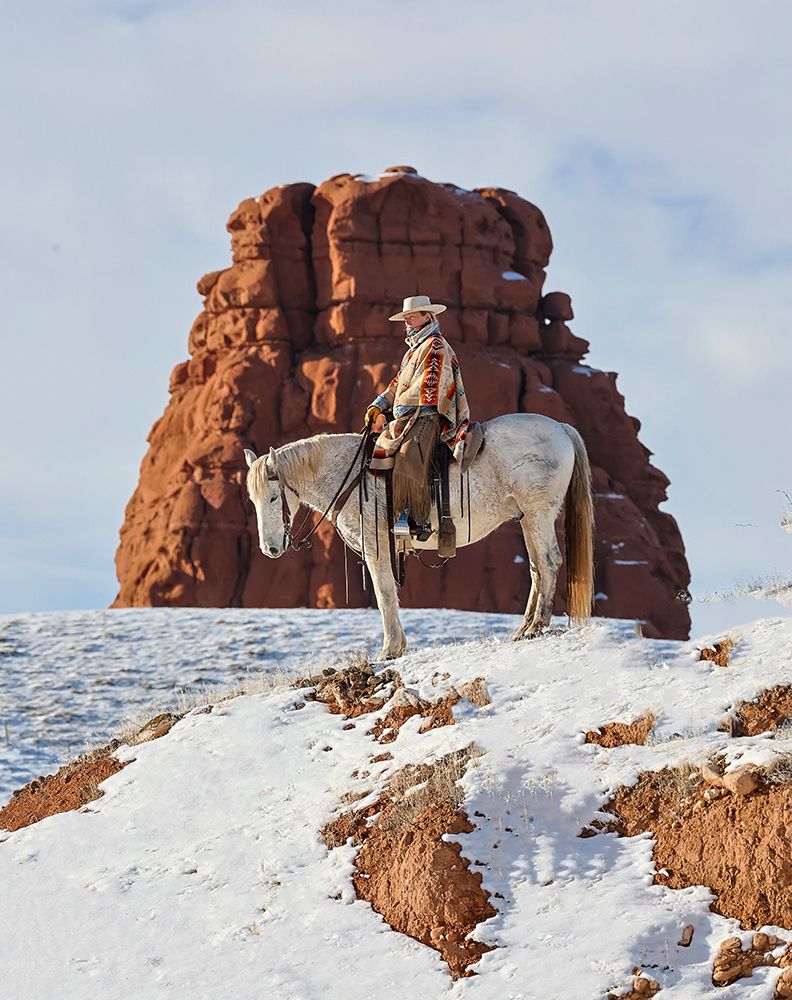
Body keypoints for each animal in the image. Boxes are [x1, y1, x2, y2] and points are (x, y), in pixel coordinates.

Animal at [246, 410, 592, 660]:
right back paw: (524, 628)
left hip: (539, 514)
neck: (352, 476)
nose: (270, 548)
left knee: (549, 562)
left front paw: (390, 649)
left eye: (274, 497)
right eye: (253, 499)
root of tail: (561, 428)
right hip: (527, 519)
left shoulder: (376, 546)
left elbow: (385, 593)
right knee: (536, 568)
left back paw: (538, 626)